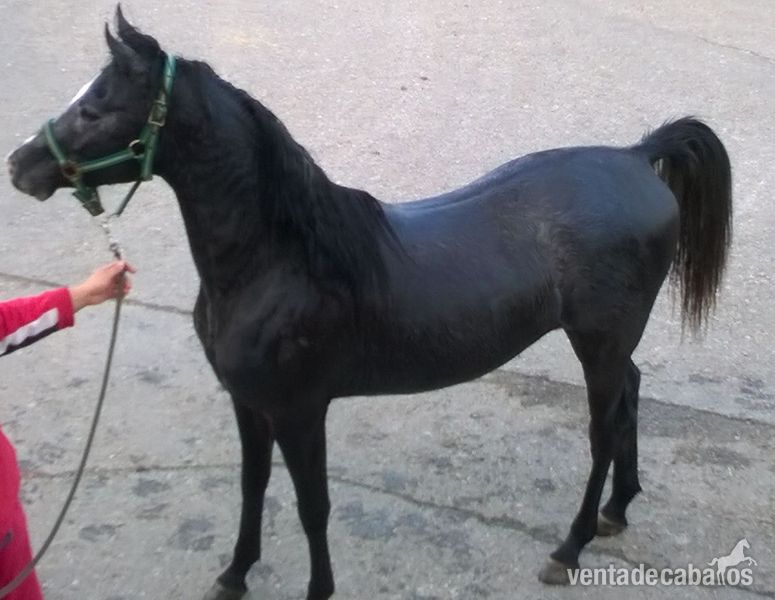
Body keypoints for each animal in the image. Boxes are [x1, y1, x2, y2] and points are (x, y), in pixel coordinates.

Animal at [6, 8, 732, 599]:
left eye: (96, 109)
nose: (19, 166)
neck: (283, 261)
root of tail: (636, 156)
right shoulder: (248, 404)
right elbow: (251, 486)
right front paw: (235, 575)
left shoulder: (300, 411)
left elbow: (313, 506)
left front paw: (316, 590)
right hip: (610, 343)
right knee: (630, 395)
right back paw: (617, 510)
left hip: (597, 343)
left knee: (602, 430)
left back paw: (570, 545)